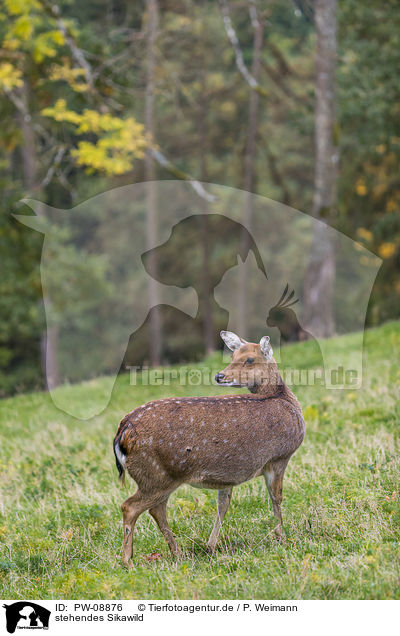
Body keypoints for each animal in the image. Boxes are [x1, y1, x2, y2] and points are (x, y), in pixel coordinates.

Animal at [114, 330, 304, 568]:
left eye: (249, 359)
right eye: (234, 357)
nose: (220, 376)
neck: (285, 401)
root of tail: (124, 431)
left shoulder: (229, 473)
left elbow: (223, 504)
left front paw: (210, 546)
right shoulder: (279, 456)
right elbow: (276, 497)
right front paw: (282, 537)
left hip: (158, 477)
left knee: (156, 509)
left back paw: (177, 553)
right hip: (156, 474)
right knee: (130, 507)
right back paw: (128, 561)